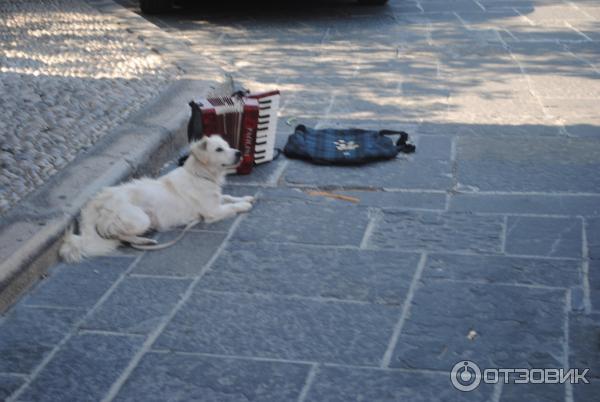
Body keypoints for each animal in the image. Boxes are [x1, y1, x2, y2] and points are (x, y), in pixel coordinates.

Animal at [60, 135, 255, 262]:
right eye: (219, 149)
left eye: (228, 145)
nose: (239, 152)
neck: (200, 175)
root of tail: (97, 200)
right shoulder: (212, 211)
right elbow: (231, 206)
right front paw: (244, 205)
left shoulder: (216, 200)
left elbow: (228, 196)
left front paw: (246, 197)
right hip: (140, 218)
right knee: (118, 235)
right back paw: (143, 240)